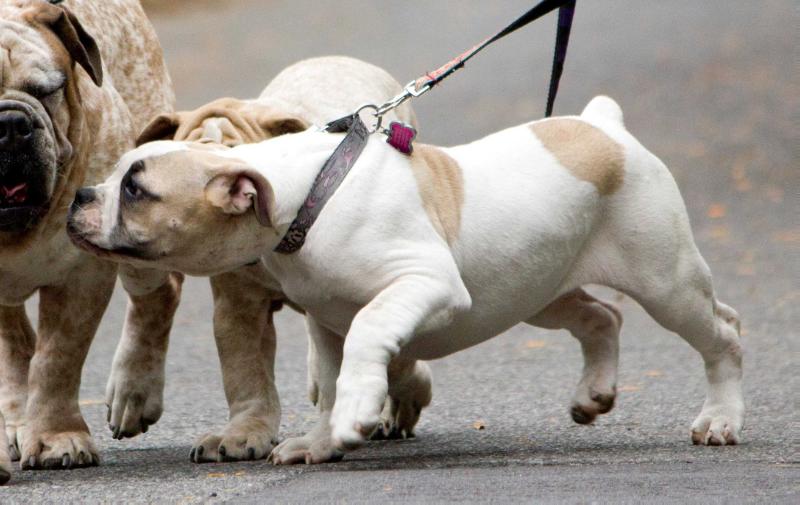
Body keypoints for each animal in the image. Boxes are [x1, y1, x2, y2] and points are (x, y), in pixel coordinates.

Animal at [0, 0, 178, 472]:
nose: (9, 124)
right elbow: (18, 354)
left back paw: (134, 393)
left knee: (158, 295)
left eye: (48, 90)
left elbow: (57, 360)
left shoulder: (82, 274)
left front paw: (57, 438)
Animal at [67, 95, 744, 464]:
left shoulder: (423, 283)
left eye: (136, 189)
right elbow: (330, 379)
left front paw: (357, 415)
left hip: (667, 281)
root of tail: (608, 128)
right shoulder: (326, 323)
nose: (79, 196)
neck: (306, 196)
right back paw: (594, 394)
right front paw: (320, 441)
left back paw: (720, 420)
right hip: (536, 290)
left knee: (724, 334)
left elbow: (370, 333)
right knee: (601, 316)